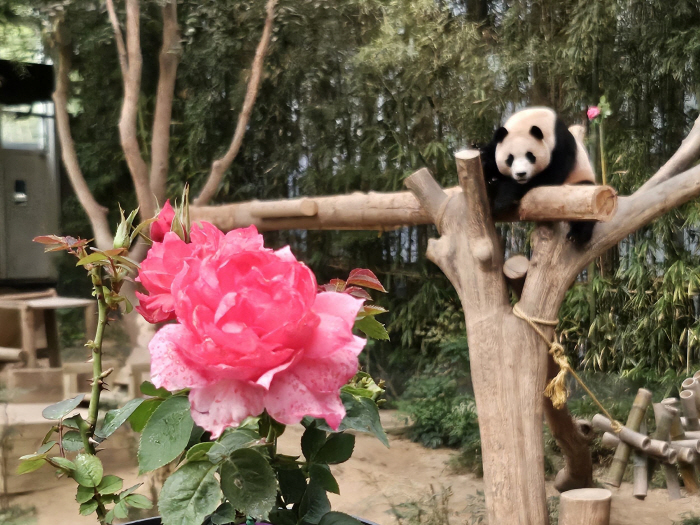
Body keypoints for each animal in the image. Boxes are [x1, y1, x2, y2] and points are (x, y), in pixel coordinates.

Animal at [482, 108, 596, 246]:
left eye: (530, 156)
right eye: (510, 158)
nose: (521, 174)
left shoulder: (561, 147)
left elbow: (547, 178)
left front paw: (503, 198)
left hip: (579, 180)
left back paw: (577, 236)